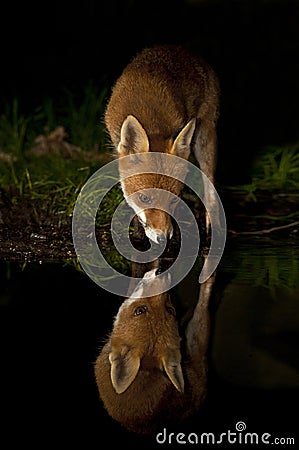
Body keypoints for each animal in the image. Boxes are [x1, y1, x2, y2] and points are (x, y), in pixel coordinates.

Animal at [105, 44, 220, 244]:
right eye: (144, 198)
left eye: (174, 200)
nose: (163, 238)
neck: (152, 123)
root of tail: (178, 48)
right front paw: (138, 234)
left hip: (204, 139)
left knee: (210, 190)